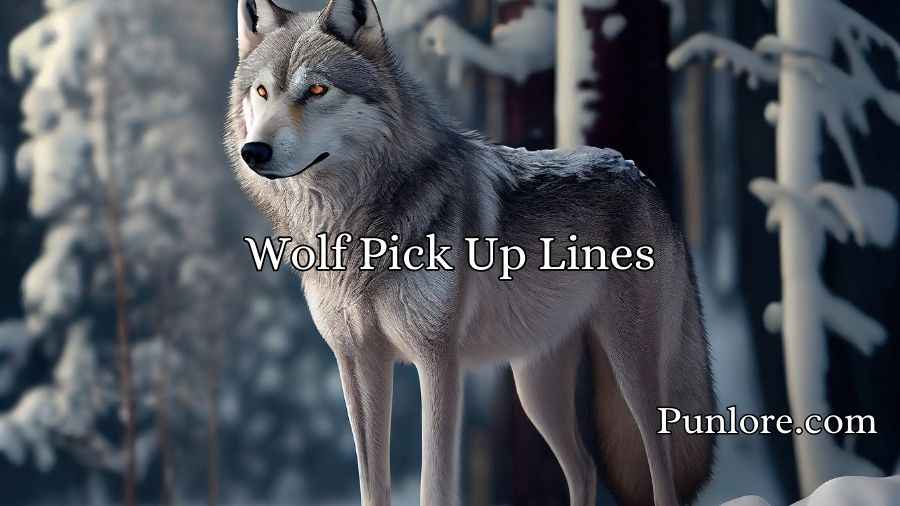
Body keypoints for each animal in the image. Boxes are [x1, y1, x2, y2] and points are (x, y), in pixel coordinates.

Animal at [226, 1, 715, 505]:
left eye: (317, 89)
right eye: (262, 91)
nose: (254, 151)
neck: (353, 226)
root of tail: (641, 176)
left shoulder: (438, 360)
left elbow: (436, 483)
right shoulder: (357, 360)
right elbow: (372, 483)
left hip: (632, 372)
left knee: (659, 467)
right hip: (534, 387)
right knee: (584, 468)